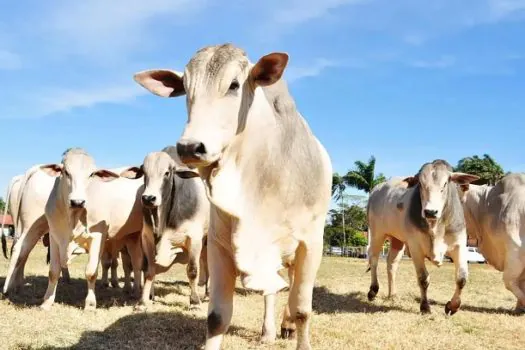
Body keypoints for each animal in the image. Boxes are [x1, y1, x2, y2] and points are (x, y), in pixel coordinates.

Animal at [39, 147, 144, 308]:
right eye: (66, 172)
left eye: (91, 174)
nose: (77, 201)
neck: (74, 219)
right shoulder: (55, 236)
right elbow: (53, 272)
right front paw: (47, 301)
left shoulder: (98, 237)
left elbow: (91, 272)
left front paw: (90, 303)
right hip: (131, 237)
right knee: (135, 263)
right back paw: (134, 291)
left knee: (138, 264)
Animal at [119, 146, 209, 310]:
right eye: (144, 172)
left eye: (167, 173)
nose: (148, 198)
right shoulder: (147, 238)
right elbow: (149, 270)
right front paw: (143, 301)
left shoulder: (195, 238)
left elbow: (192, 270)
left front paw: (194, 302)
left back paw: (207, 294)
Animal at [133, 43, 334, 350]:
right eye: (185, 88)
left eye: (234, 85)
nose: (190, 147)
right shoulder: (219, 244)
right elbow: (217, 316)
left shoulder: (311, 244)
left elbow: (302, 309)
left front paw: (296, 326)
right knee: (272, 291)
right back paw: (269, 330)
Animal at [364, 160, 478, 316]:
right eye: (421, 185)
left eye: (445, 184)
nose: (430, 211)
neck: (436, 225)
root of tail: (376, 189)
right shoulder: (415, 247)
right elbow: (423, 279)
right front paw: (425, 307)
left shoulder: (459, 245)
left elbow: (462, 278)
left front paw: (452, 306)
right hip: (377, 234)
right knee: (374, 259)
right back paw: (373, 290)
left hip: (397, 240)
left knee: (391, 264)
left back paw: (392, 294)